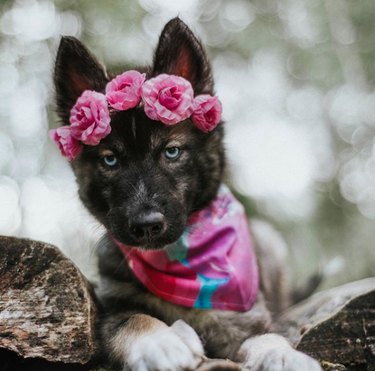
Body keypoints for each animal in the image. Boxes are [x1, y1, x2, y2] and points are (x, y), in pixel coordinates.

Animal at [53, 18, 324, 371]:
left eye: (172, 152)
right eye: (110, 160)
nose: (146, 226)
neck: (179, 261)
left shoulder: (246, 319)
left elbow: (267, 337)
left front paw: (284, 356)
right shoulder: (112, 308)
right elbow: (134, 319)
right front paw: (162, 342)